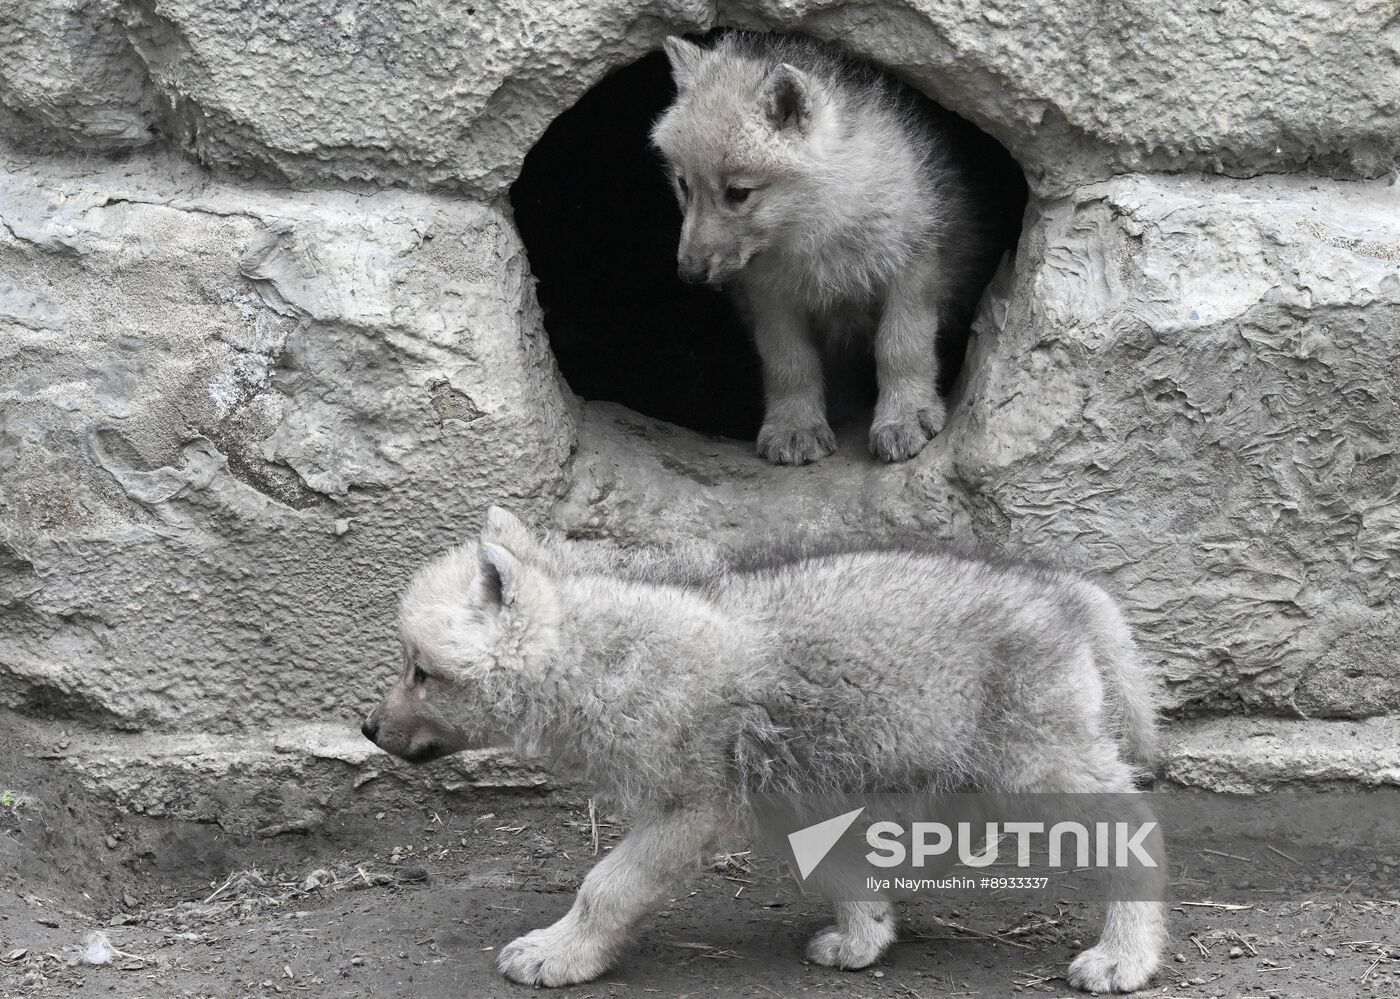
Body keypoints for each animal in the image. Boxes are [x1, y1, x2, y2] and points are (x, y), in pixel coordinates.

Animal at [362, 508, 1166, 993]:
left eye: (421, 670)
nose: (368, 730)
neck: (601, 656)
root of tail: (1065, 591)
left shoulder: (692, 809)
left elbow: (605, 886)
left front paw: (557, 953)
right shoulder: (786, 796)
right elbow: (848, 876)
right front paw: (864, 942)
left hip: (1039, 771)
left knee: (1135, 840)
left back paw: (1124, 957)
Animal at [650, 32, 1010, 465]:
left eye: (738, 193)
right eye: (683, 184)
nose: (688, 273)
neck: (818, 225)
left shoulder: (912, 266)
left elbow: (902, 347)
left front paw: (904, 418)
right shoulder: (770, 294)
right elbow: (789, 363)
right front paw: (795, 429)